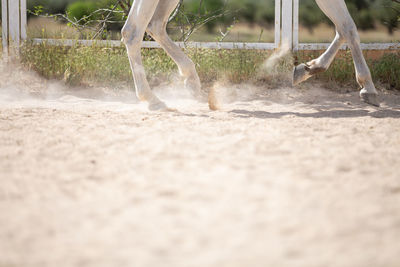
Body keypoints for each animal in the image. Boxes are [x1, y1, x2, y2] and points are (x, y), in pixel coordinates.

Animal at [120, 0, 380, 111]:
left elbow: (345, 27)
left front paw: (307, 69)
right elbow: (347, 27)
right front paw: (368, 89)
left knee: (155, 25)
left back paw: (191, 81)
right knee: (133, 30)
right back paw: (152, 99)